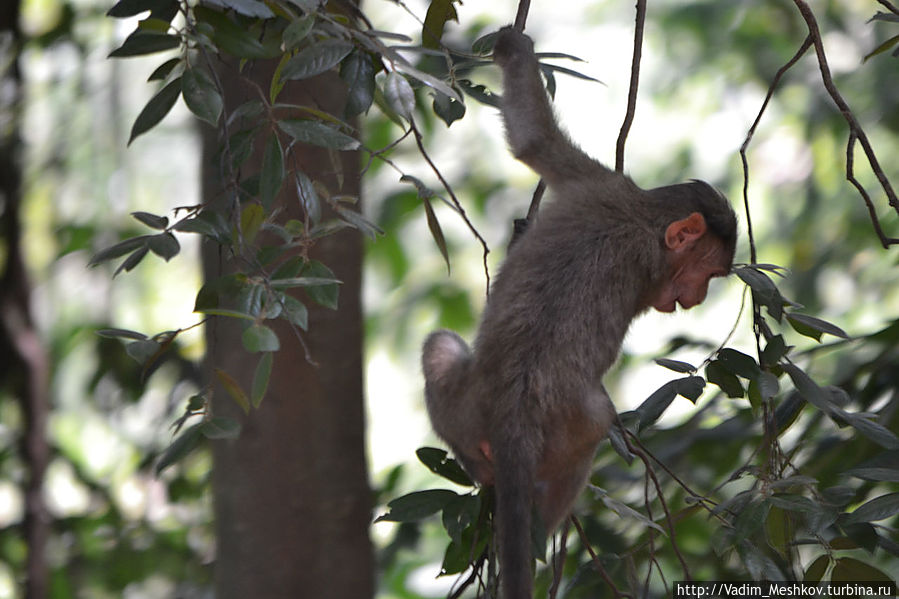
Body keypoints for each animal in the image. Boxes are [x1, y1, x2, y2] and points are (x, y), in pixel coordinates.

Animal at [422, 28, 740, 599]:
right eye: (706, 271)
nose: (699, 297)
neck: (643, 222)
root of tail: (512, 415)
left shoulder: (595, 185)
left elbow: (533, 142)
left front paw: (510, 48)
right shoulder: (618, 199)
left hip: (462, 403)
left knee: (439, 346)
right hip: (562, 424)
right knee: (595, 420)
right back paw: (536, 532)